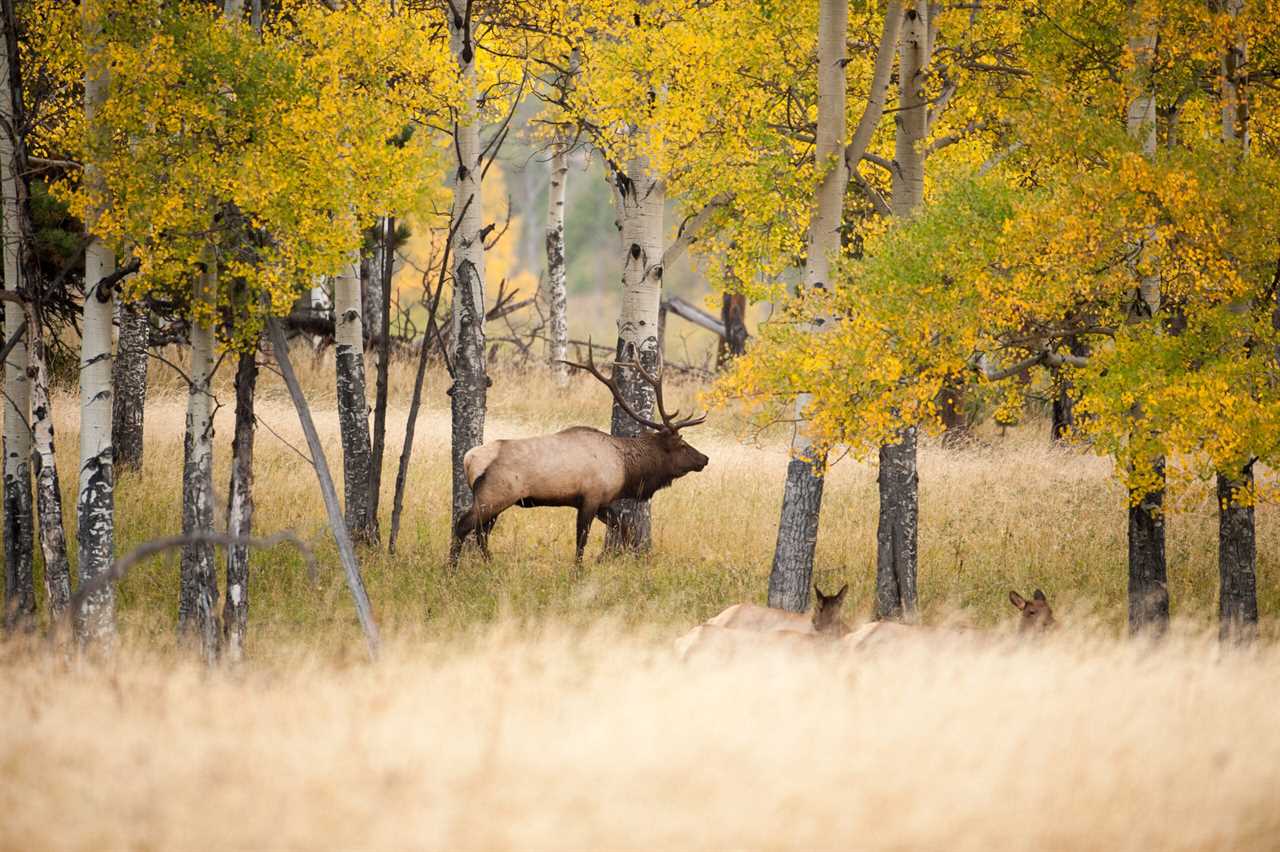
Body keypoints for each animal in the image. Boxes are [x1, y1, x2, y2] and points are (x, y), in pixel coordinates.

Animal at [450, 347, 711, 562]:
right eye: (682, 444)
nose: (705, 458)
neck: (626, 470)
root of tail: (469, 459)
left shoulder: (603, 501)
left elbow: (624, 528)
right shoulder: (590, 497)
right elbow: (582, 541)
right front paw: (578, 571)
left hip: (496, 499)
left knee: (482, 532)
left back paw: (489, 564)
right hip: (496, 494)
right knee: (464, 525)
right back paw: (452, 568)